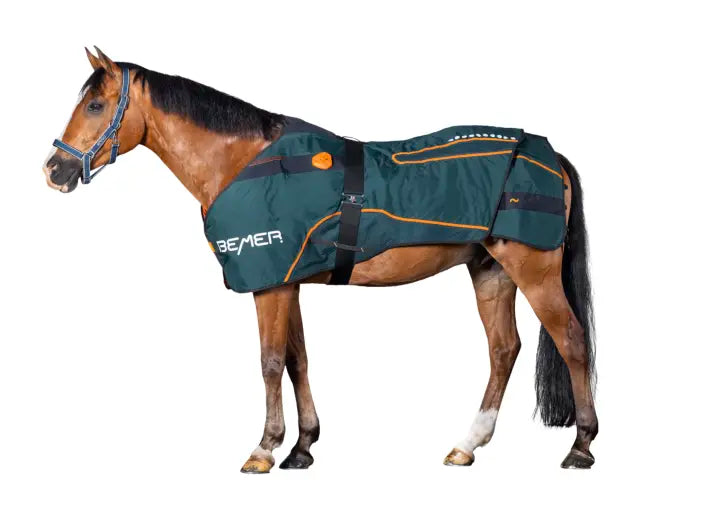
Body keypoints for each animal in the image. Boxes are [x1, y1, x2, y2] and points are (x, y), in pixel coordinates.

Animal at [43, 48, 598, 472]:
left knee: (572, 341)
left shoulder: (269, 283)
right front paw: (302, 447)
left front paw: (264, 450)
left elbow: (270, 362)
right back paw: (467, 445)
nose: (54, 170)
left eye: (95, 105)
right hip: (491, 272)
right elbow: (297, 360)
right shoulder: (288, 281)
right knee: (503, 349)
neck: (243, 162)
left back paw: (581, 447)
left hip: (533, 271)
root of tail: (548, 154)